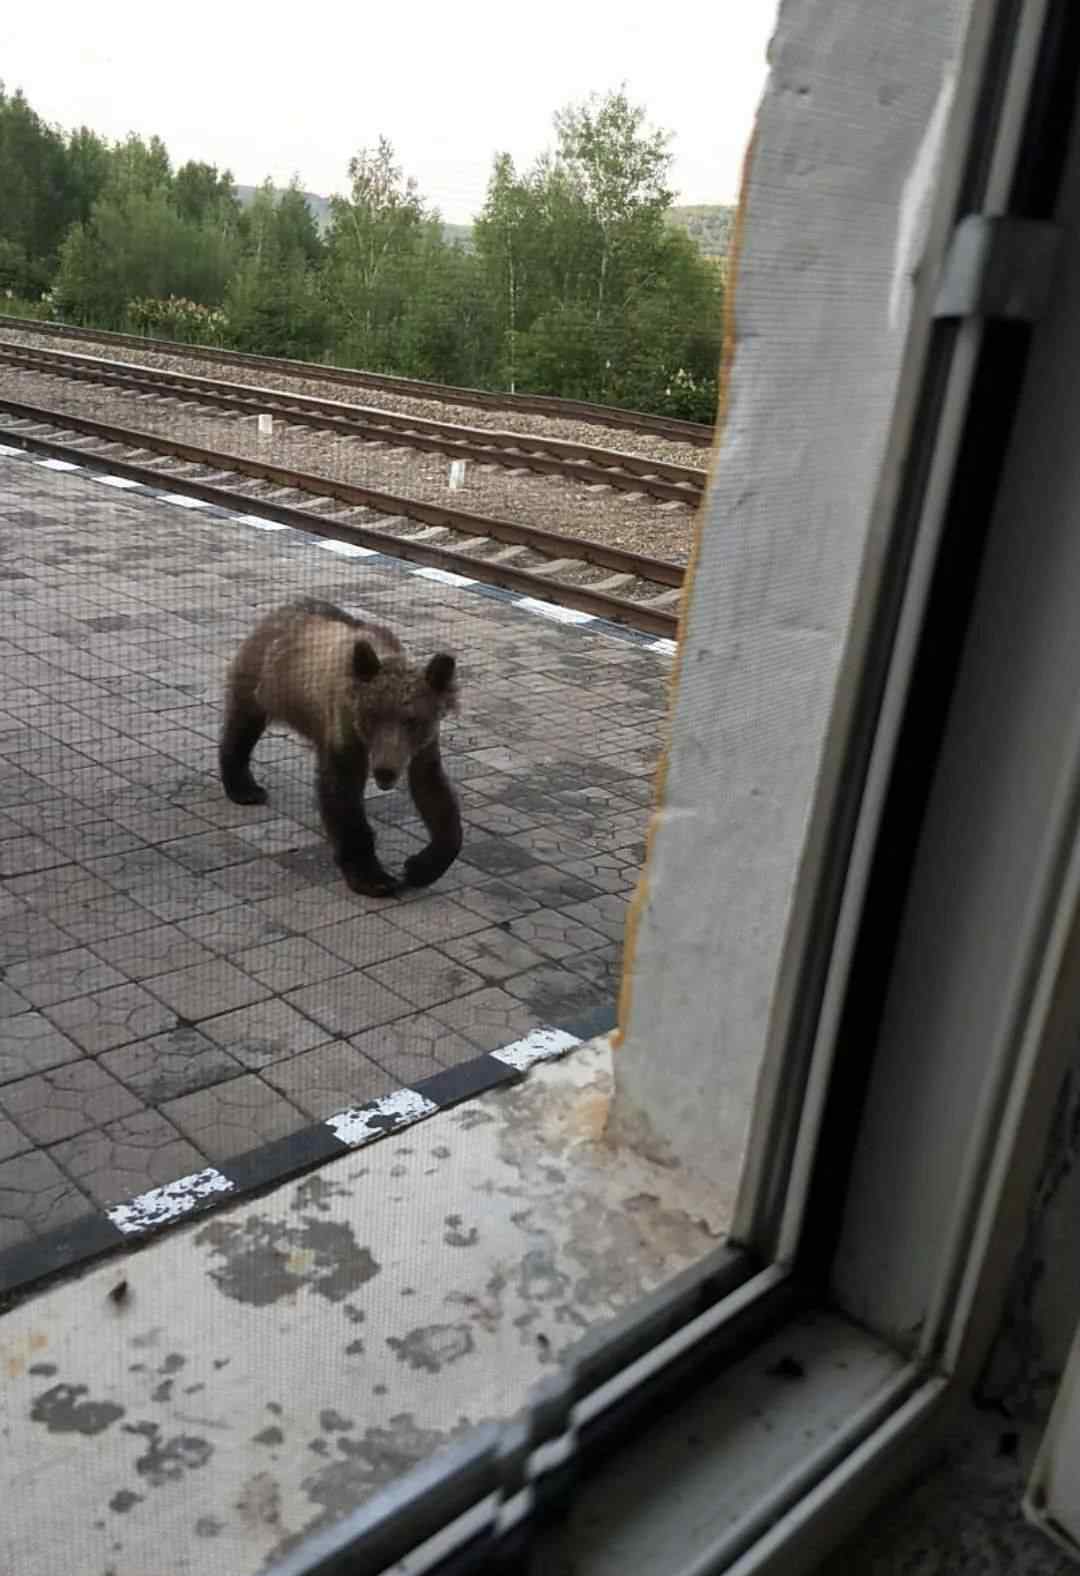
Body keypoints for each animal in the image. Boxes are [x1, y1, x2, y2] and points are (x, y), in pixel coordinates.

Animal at [220, 598, 460, 901]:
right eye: (373, 715)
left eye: (413, 720)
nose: (385, 772)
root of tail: (282, 609)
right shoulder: (345, 731)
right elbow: (343, 797)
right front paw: (373, 877)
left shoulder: (422, 746)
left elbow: (434, 792)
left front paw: (421, 866)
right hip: (261, 679)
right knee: (242, 728)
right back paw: (244, 788)